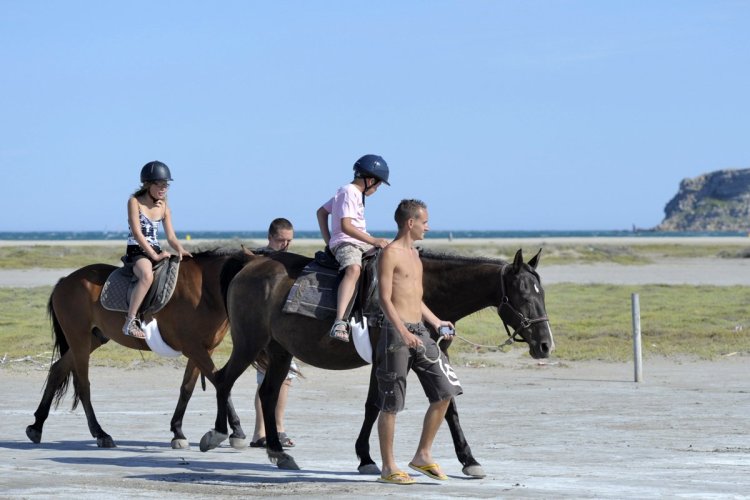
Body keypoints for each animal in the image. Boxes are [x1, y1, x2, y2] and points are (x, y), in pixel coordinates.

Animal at [26, 250, 250, 450]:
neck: (205, 292)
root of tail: (65, 281)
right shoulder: (194, 348)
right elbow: (221, 382)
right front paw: (230, 431)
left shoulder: (204, 350)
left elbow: (189, 387)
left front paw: (178, 431)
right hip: (79, 339)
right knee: (83, 385)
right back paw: (100, 433)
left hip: (92, 339)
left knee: (57, 370)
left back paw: (36, 426)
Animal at [203, 248, 556, 478]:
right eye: (525, 295)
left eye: (543, 294)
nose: (545, 345)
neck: (420, 290)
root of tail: (251, 262)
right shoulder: (391, 359)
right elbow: (378, 406)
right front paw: (367, 457)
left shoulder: (428, 358)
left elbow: (442, 408)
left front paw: (468, 460)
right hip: (249, 344)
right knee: (223, 380)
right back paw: (220, 433)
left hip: (279, 351)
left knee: (267, 394)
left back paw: (278, 451)